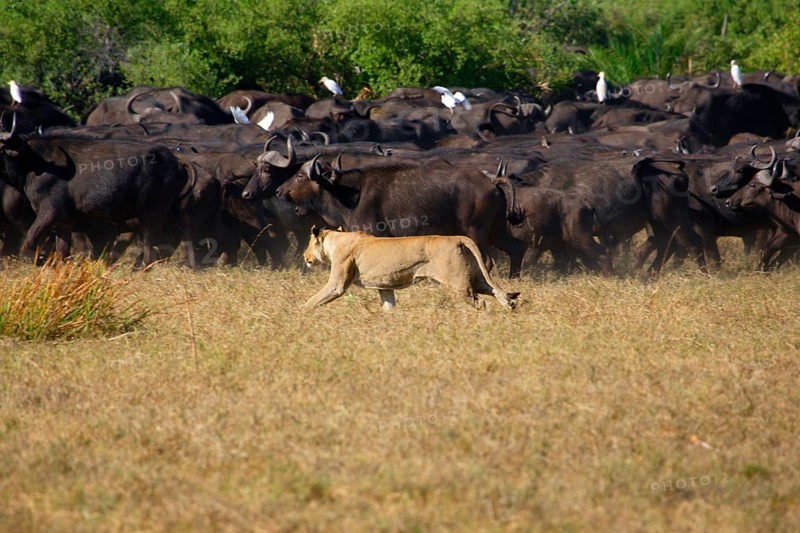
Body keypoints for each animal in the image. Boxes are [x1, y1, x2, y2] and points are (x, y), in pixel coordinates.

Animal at [302, 226, 520, 310]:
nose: (305, 256)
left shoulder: (337, 283)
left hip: (458, 284)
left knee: (480, 302)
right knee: (495, 289)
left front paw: (300, 313)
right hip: (476, 277)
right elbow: (389, 306)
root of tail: (457, 237)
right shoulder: (384, 287)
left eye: (309, 243)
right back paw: (510, 306)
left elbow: (315, 299)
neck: (335, 239)